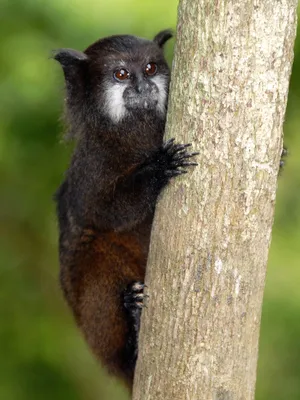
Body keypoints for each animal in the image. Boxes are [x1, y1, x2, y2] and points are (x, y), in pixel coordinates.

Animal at [53, 28, 199, 390]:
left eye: (149, 68)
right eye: (121, 74)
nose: (144, 87)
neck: (134, 130)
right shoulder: (92, 165)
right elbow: (102, 215)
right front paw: (158, 169)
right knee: (95, 254)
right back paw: (132, 327)